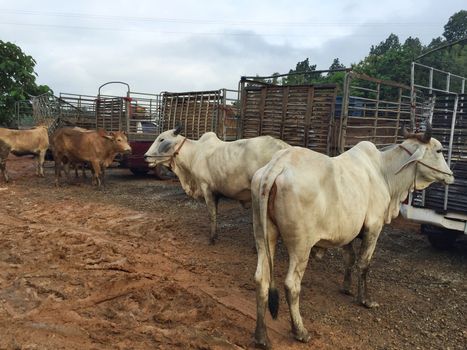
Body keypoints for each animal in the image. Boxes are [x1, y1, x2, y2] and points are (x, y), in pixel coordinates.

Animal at [144, 126, 290, 243]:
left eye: (162, 139)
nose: (146, 156)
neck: (193, 153)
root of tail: (286, 148)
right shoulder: (216, 192)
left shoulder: (206, 187)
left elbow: (212, 214)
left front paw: (212, 238)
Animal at [254, 126, 456, 350]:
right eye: (439, 150)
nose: (451, 176)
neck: (384, 172)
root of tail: (278, 164)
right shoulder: (374, 227)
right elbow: (364, 264)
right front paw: (365, 300)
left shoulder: (349, 231)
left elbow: (349, 259)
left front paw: (346, 288)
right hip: (301, 246)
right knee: (291, 285)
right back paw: (300, 331)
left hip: (264, 236)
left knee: (261, 279)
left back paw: (261, 336)